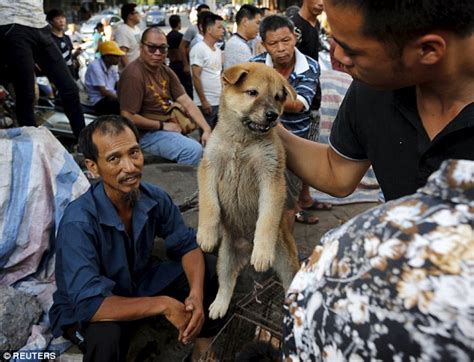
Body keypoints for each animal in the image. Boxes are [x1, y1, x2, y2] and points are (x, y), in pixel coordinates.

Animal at [197, 62, 300, 320]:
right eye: (252, 92)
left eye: (278, 97)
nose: (273, 115)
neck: (242, 142)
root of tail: (245, 250)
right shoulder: (209, 167)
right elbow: (209, 205)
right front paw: (207, 235)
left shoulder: (270, 177)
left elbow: (266, 219)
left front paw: (262, 251)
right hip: (224, 259)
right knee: (226, 282)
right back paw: (219, 305)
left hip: (285, 259)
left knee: (289, 284)